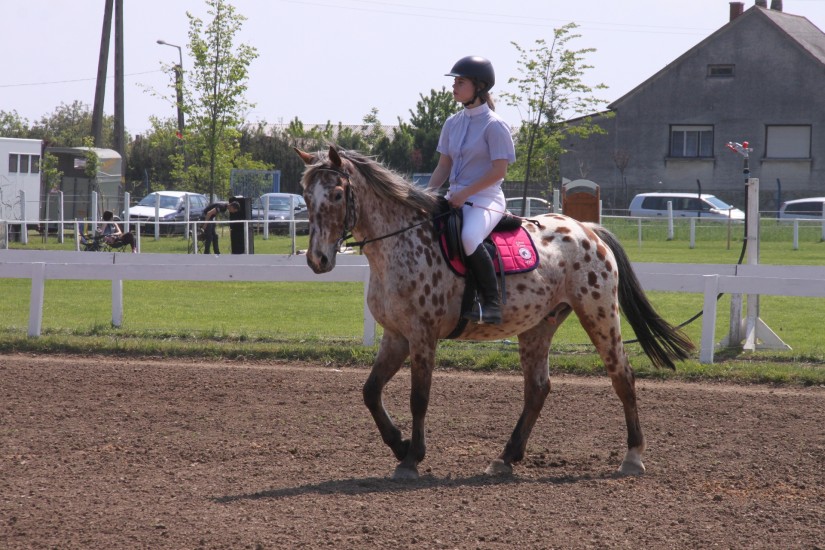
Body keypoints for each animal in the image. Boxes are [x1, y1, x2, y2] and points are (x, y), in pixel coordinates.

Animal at [296, 145, 694, 480]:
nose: (317, 260)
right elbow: (370, 391)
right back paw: (506, 457)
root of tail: (588, 229)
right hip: (538, 326)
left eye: (336, 194)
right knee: (537, 388)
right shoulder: (397, 336)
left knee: (622, 376)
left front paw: (411, 458)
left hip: (599, 314)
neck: (400, 243)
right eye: (305, 196)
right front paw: (399, 444)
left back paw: (633, 457)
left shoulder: (422, 336)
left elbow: (418, 397)